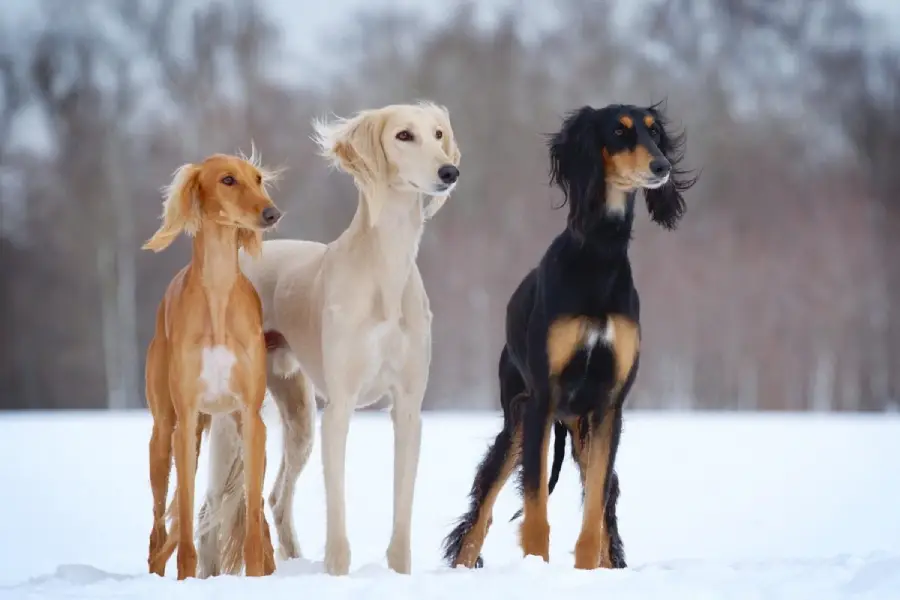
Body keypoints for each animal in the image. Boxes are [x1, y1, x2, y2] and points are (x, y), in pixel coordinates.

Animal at [144, 152, 282, 580]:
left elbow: (252, 520)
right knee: (159, 526)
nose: (272, 213)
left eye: (258, 179)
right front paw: (186, 574)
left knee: (258, 515)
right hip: (164, 435)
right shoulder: (186, 419)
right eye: (227, 180)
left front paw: (256, 573)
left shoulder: (251, 420)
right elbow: (186, 521)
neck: (219, 296)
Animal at [198, 102, 464, 576]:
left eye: (437, 134)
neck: (384, 270)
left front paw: (398, 572)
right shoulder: (339, 407)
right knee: (212, 508)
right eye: (403, 135)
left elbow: (402, 509)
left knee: (276, 497)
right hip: (233, 417)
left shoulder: (408, 407)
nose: (449, 171)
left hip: (298, 414)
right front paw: (337, 572)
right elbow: (336, 509)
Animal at [442, 103, 696, 572]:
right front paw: (536, 566)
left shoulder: (609, 405)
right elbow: (535, 506)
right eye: (620, 131)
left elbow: (596, 509)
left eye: (655, 134)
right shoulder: (542, 398)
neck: (598, 255)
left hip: (579, 428)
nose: (662, 167)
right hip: (517, 421)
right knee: (480, 515)